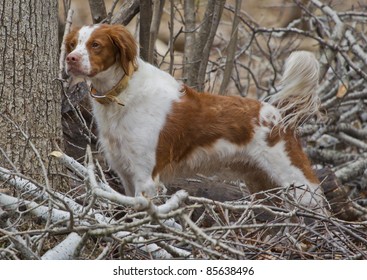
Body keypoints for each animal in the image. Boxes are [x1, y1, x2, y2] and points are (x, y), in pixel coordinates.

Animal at [65, 24, 324, 209]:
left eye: (96, 44)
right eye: (73, 44)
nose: (71, 59)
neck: (121, 94)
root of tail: (278, 115)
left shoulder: (146, 177)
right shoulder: (125, 173)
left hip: (297, 182)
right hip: (263, 184)